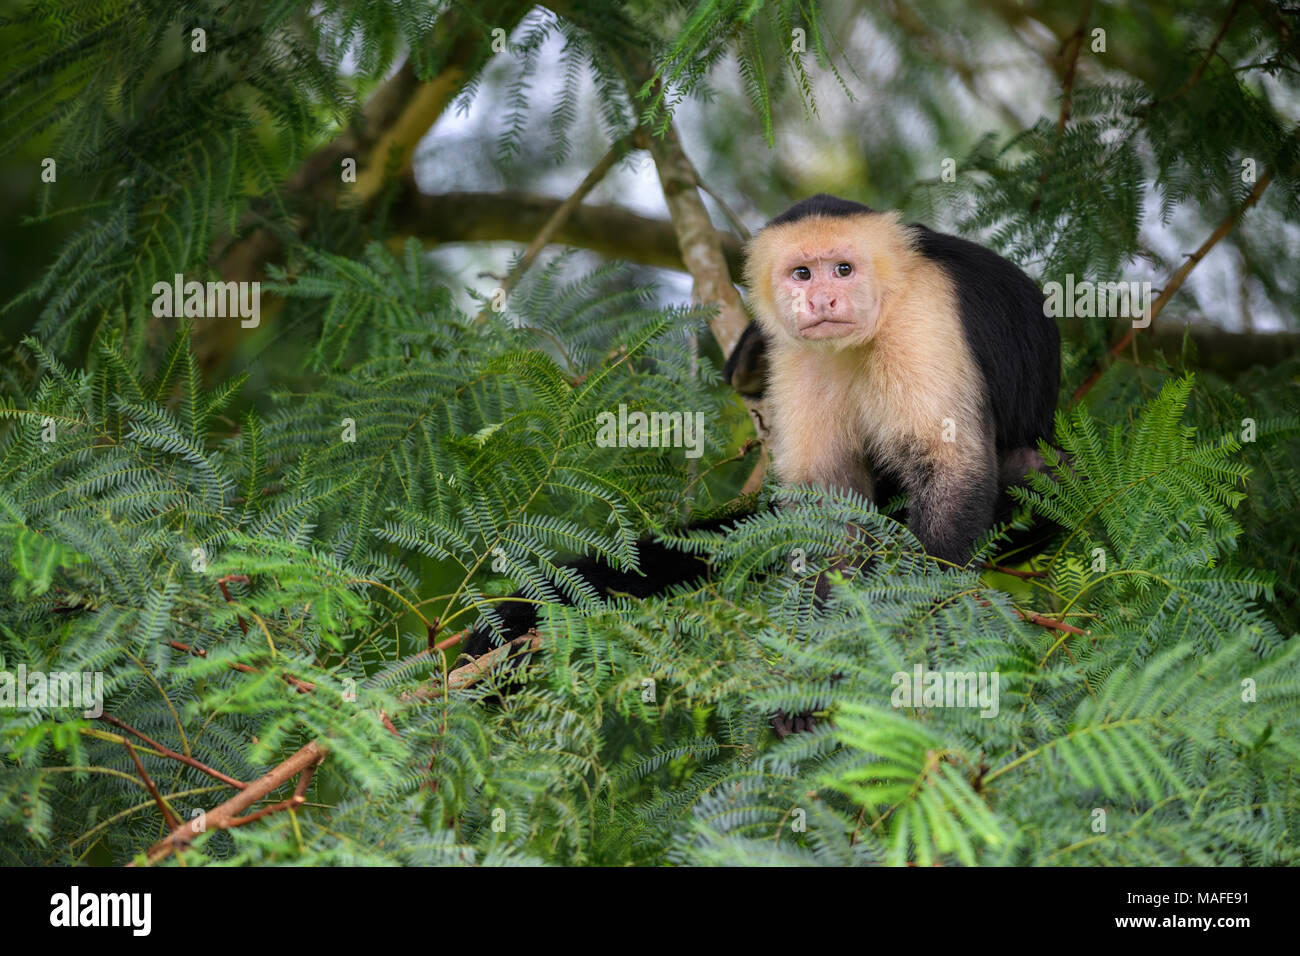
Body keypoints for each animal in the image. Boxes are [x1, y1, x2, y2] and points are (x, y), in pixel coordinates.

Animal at [462, 195, 1060, 671]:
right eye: (803, 275)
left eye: (844, 269)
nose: (822, 301)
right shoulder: (797, 351)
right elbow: (827, 503)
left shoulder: (924, 315)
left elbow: (948, 467)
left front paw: (915, 612)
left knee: (1034, 469)